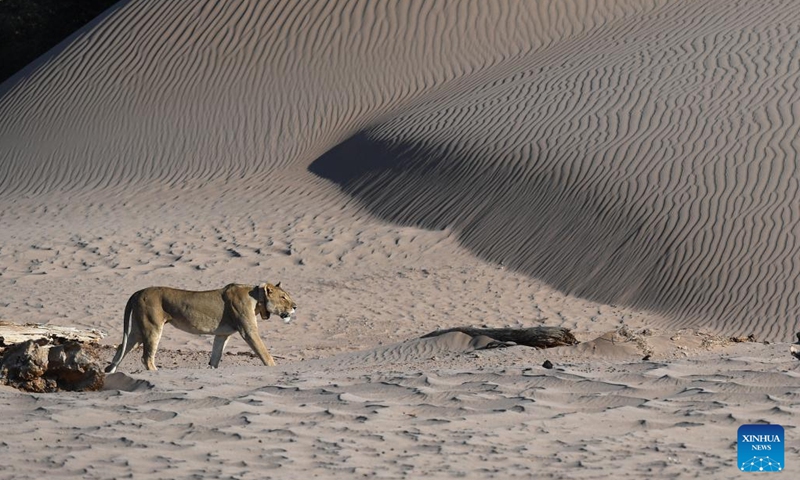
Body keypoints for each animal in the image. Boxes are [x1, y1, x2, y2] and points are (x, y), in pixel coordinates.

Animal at [103, 284, 296, 374]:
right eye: (283, 297)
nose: (295, 306)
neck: (257, 299)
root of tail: (138, 292)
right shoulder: (248, 331)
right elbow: (264, 354)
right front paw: (274, 368)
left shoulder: (222, 334)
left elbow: (215, 357)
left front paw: (212, 370)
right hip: (152, 328)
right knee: (146, 358)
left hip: (136, 331)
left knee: (121, 348)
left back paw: (110, 371)